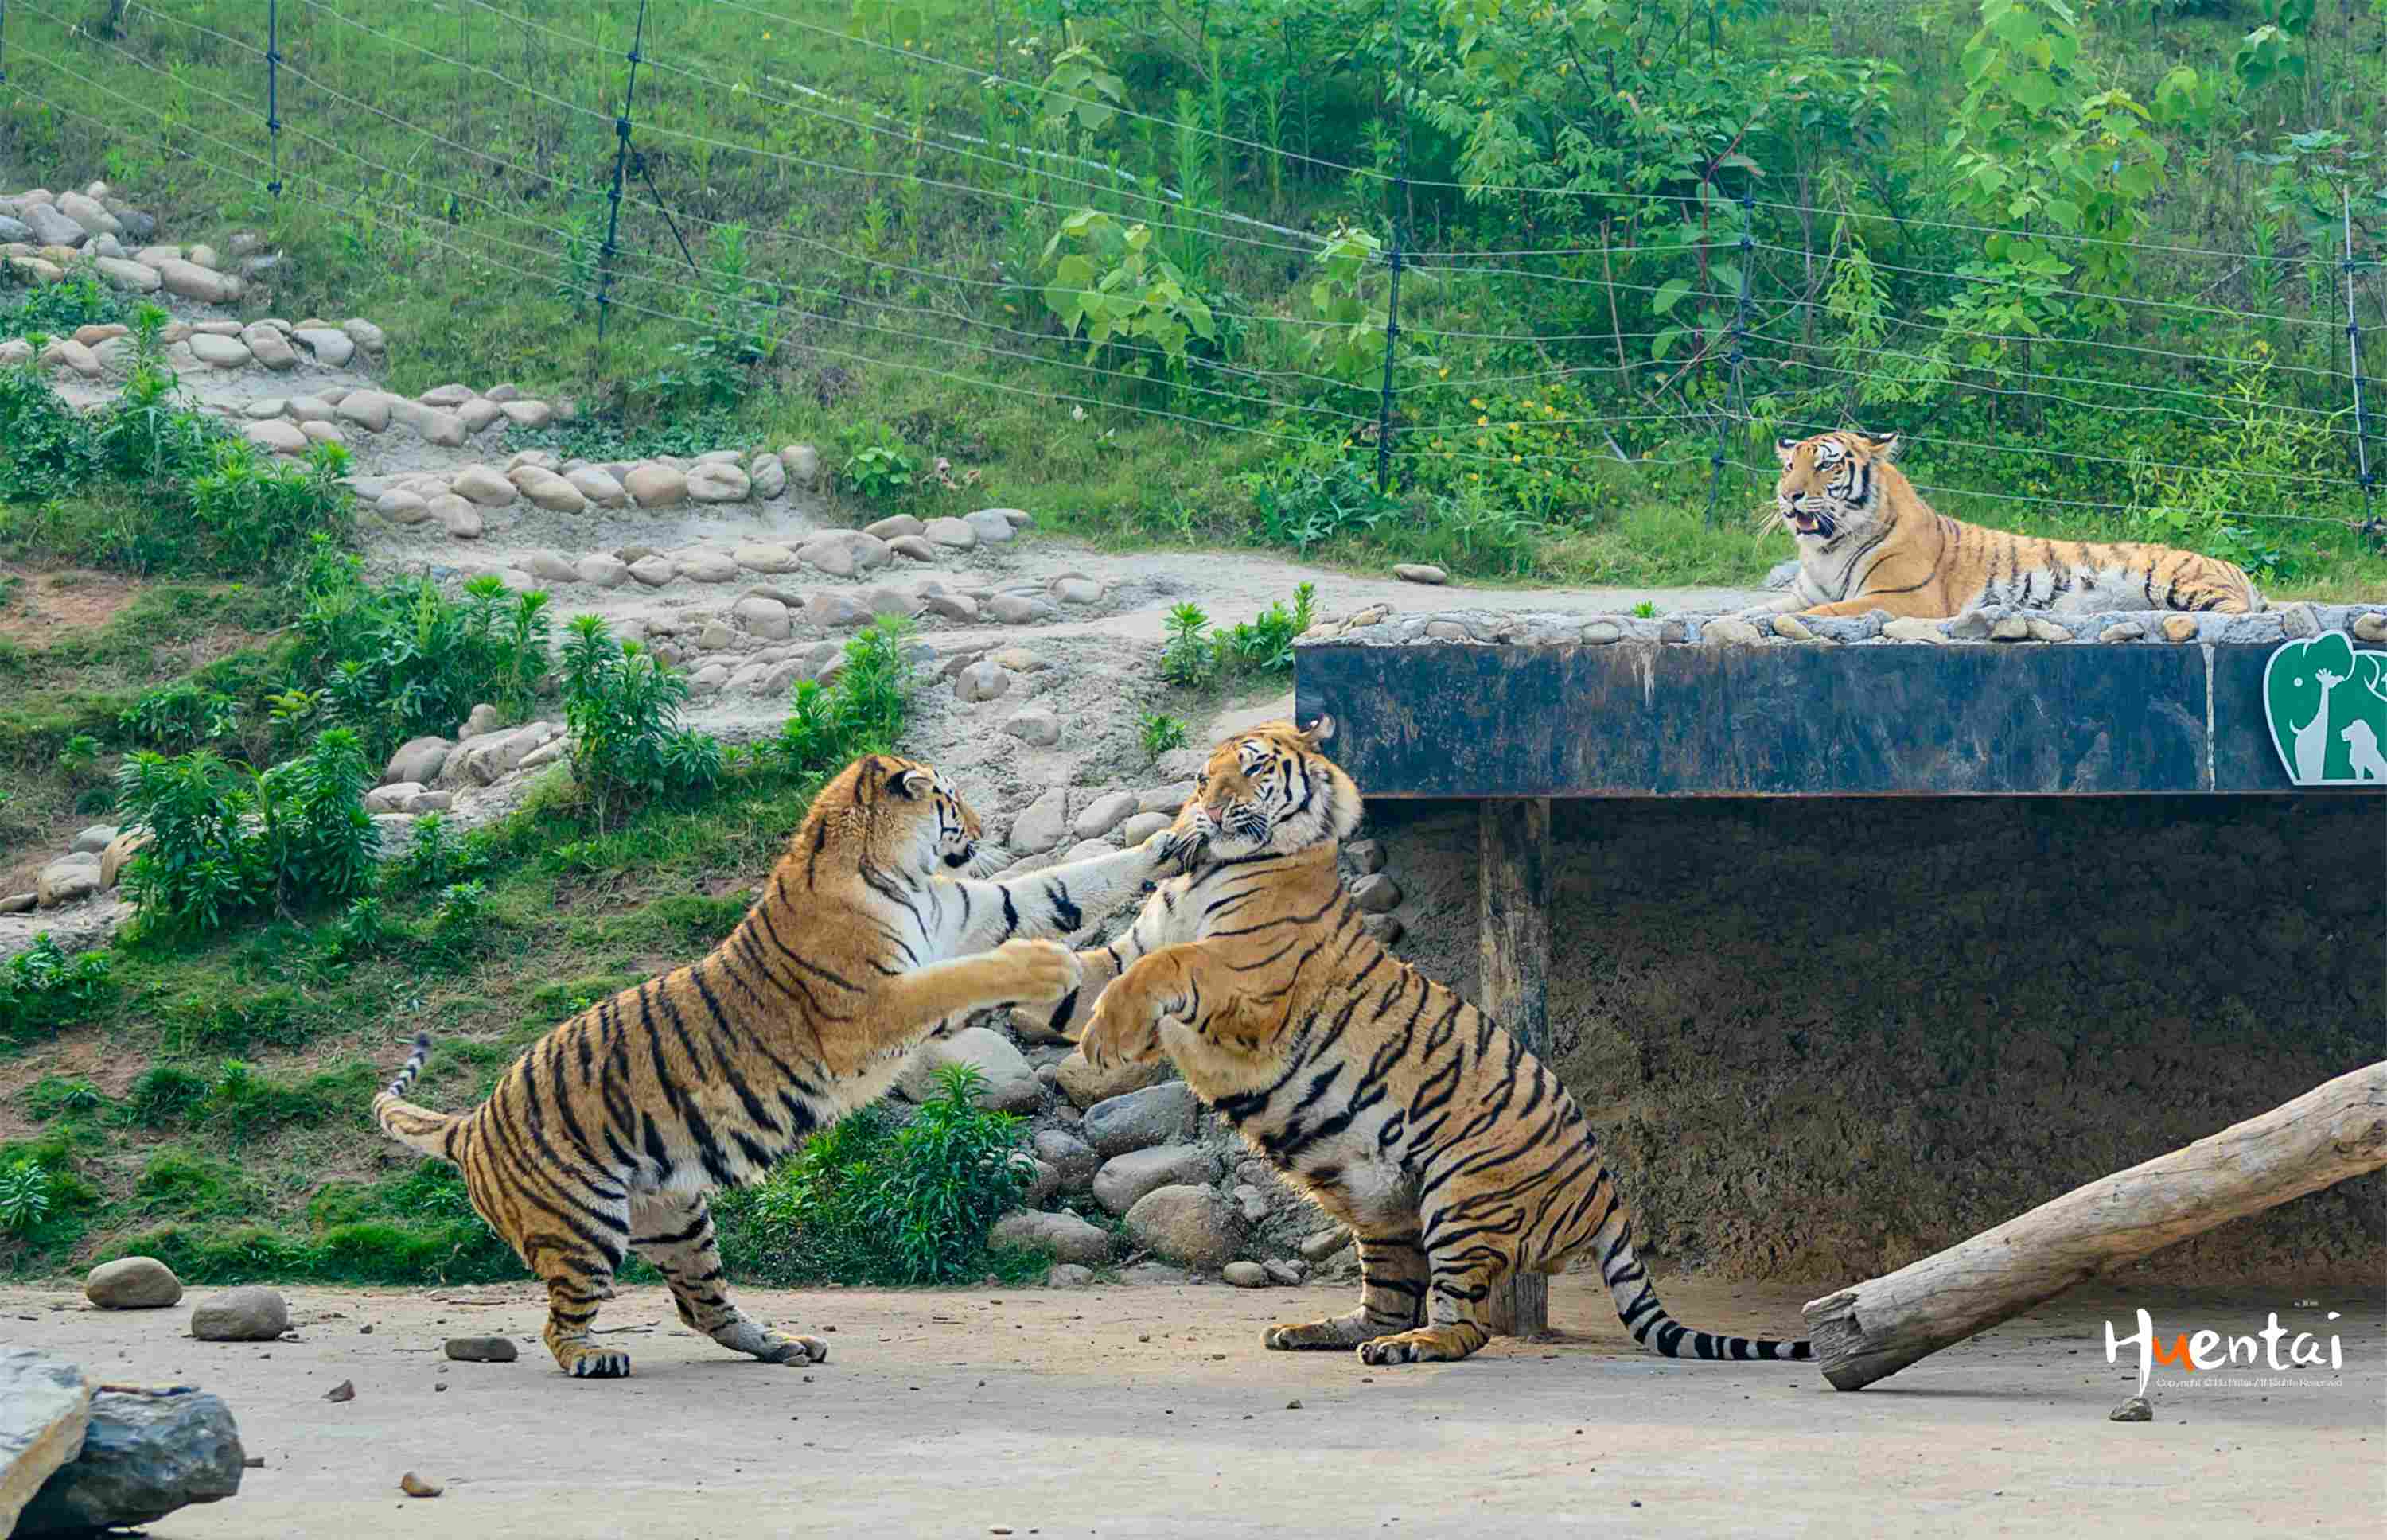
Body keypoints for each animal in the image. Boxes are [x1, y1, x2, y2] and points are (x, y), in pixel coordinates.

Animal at [372, 749, 1194, 1375]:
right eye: (953, 799)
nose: (986, 827)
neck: (896, 870)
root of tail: (472, 1122)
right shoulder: (873, 1007)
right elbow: (966, 974)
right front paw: (1044, 963)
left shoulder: (967, 910)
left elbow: (1056, 886)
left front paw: (1170, 840)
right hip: (581, 1229)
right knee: (560, 1318)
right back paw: (592, 1357)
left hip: (677, 1217)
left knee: (702, 1306)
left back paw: (783, 1344)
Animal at [1022, 721, 1805, 1365]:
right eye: (1200, 777)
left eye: (1251, 769)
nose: (1208, 811)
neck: (1210, 868)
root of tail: (1607, 1193)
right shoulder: (1128, 953)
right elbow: (1093, 973)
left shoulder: (1249, 983)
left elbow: (1170, 964)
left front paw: (1106, 1039)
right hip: (1380, 1206)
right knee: (1389, 1302)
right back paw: (1316, 1331)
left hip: (1461, 1197)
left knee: (1467, 1324)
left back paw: (1412, 1346)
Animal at [1747, 427, 2263, 620]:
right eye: (1789, 466)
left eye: (1827, 465)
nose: (1789, 496)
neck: (1827, 549)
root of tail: (2237, 570)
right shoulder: (1802, 592)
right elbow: (1752, 612)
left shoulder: (1903, 599)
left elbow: (1826, 612)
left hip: (2184, 582)